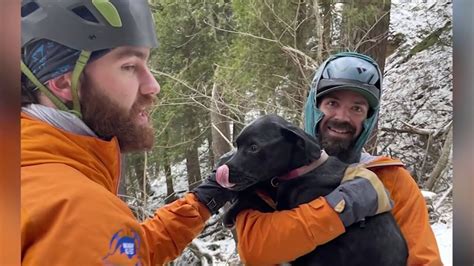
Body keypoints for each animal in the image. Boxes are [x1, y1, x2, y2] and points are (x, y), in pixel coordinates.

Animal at [215, 114, 408, 266]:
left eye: (254, 147)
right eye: (237, 145)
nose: (219, 168)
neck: (304, 170)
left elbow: (262, 201)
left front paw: (233, 210)